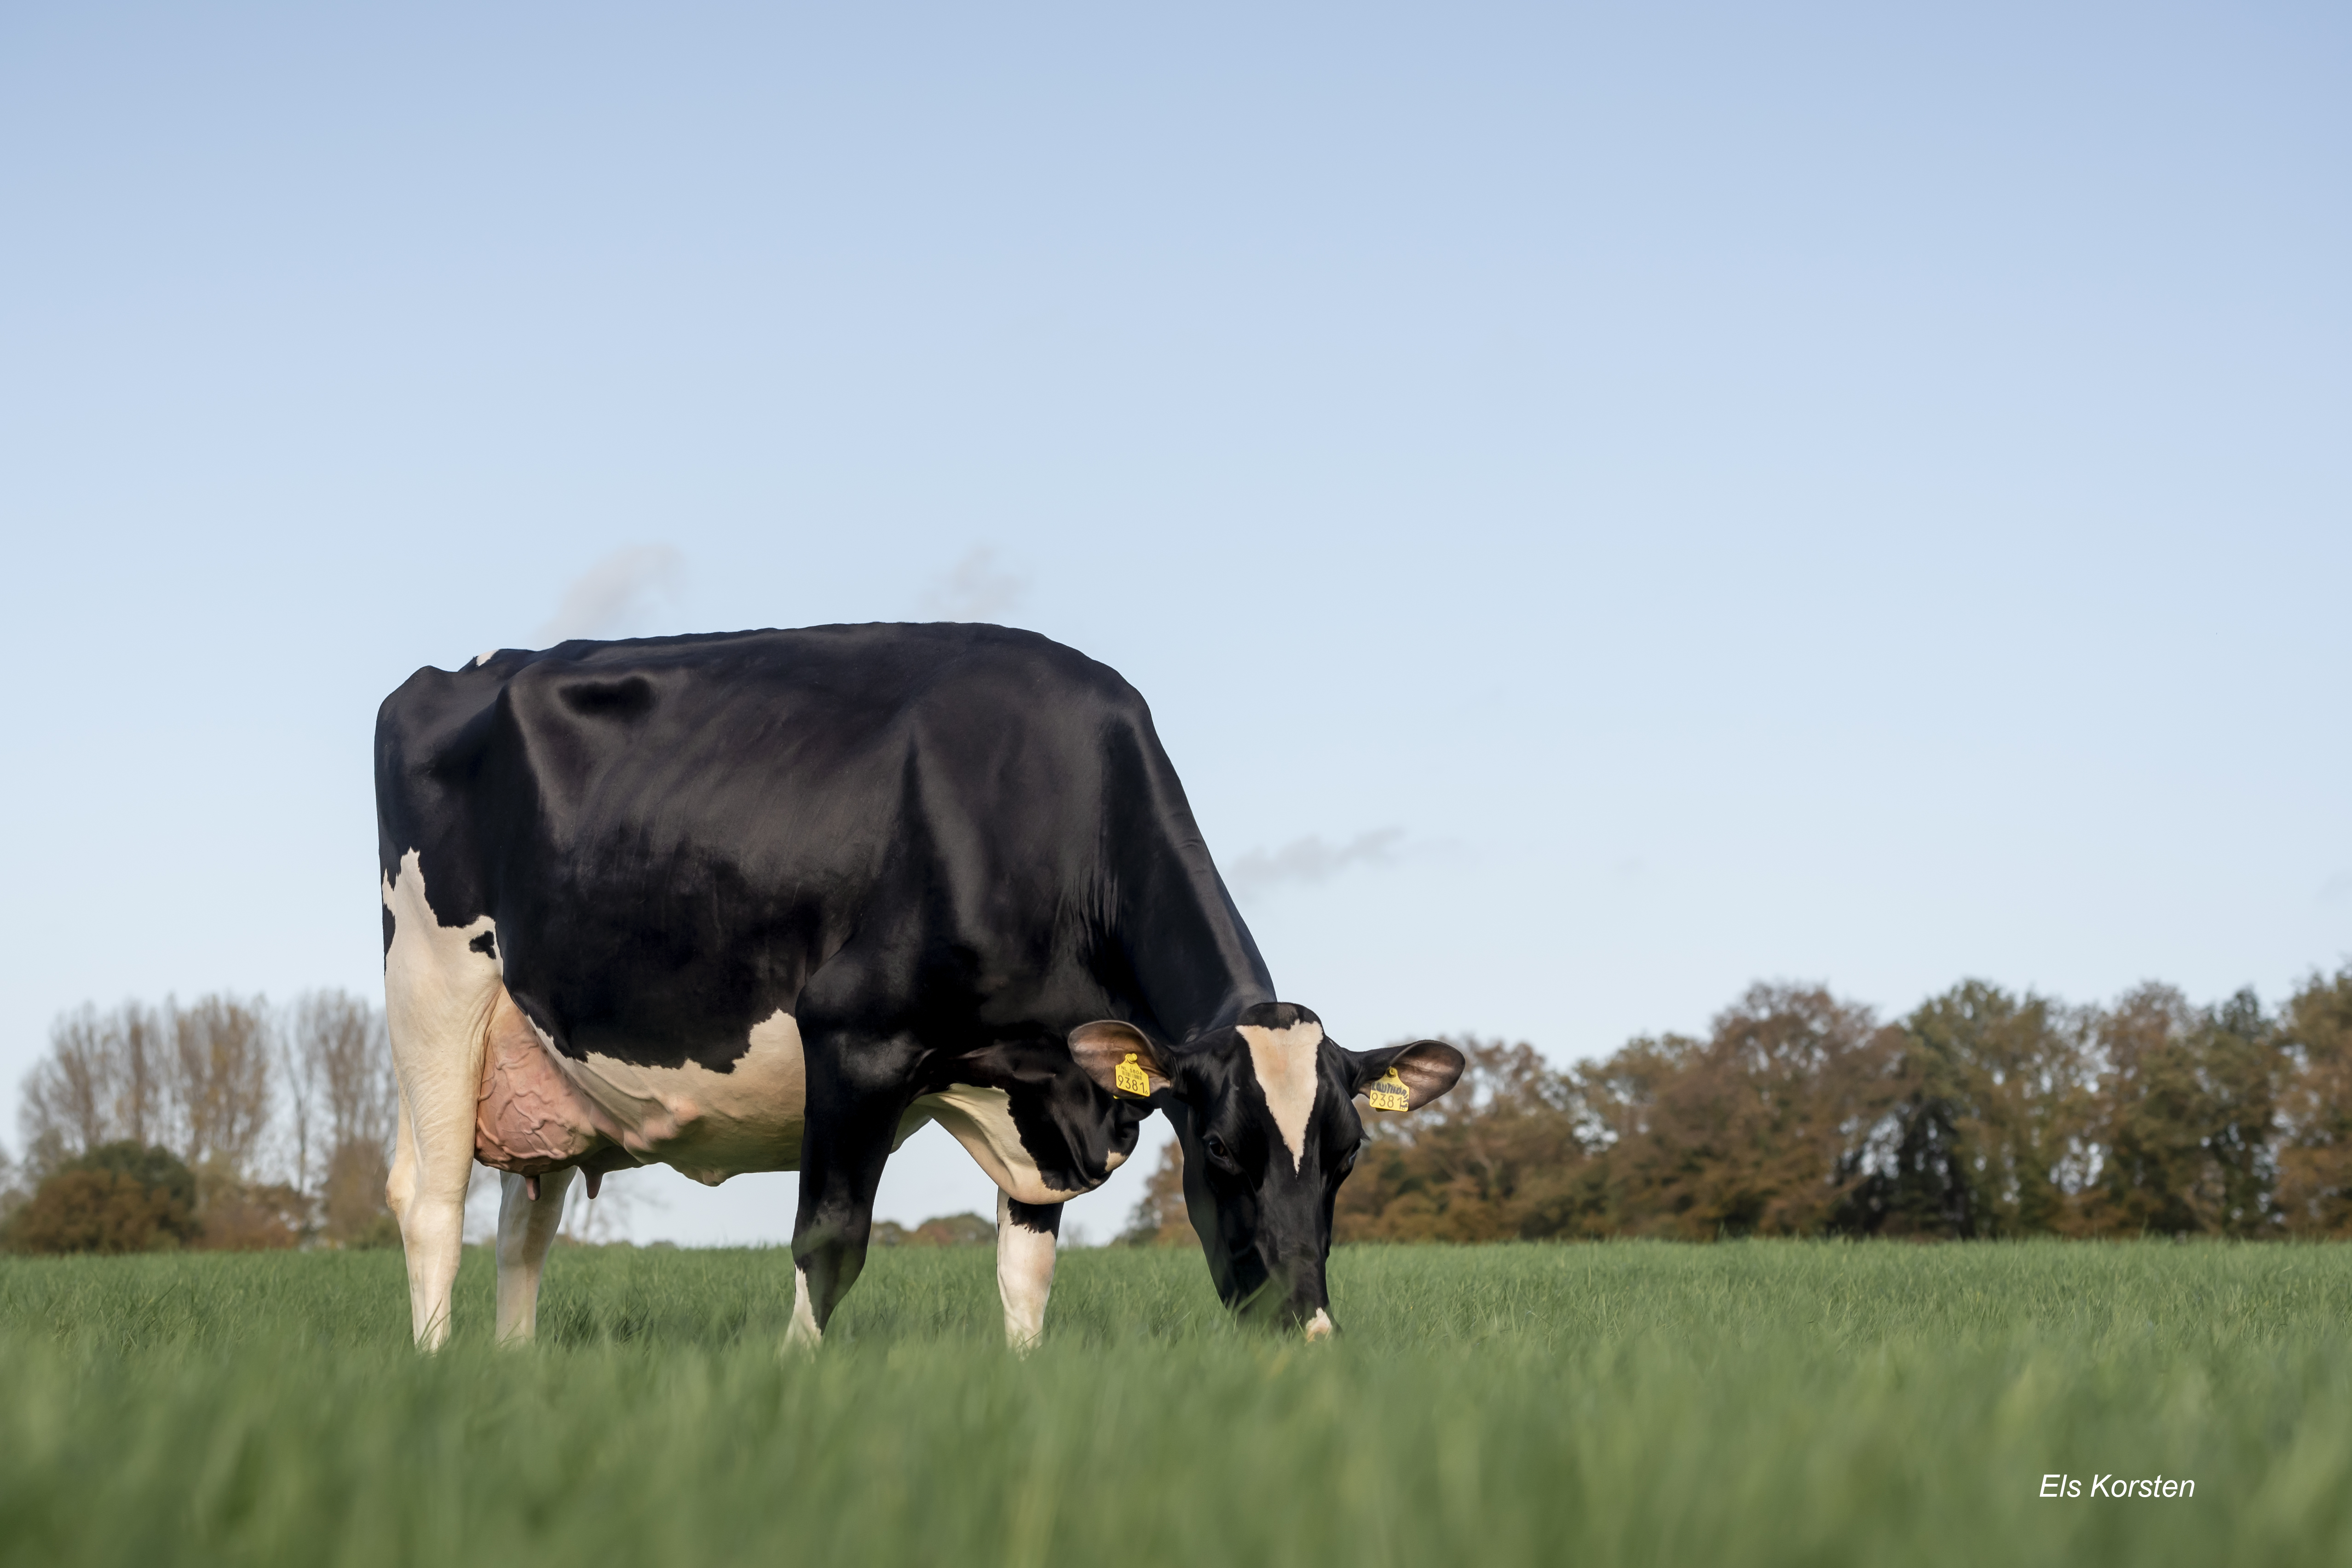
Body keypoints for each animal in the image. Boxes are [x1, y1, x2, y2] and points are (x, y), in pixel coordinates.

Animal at [376, 620, 1458, 1354]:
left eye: (1349, 1155)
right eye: (1224, 1150)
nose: (1307, 1332)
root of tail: (465, 669)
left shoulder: (1042, 1096)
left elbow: (1026, 1277)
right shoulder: (853, 1038)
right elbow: (829, 1242)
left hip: (537, 1054)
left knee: (525, 1223)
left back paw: (516, 1370)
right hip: (433, 984)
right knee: (432, 1201)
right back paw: (438, 1371)